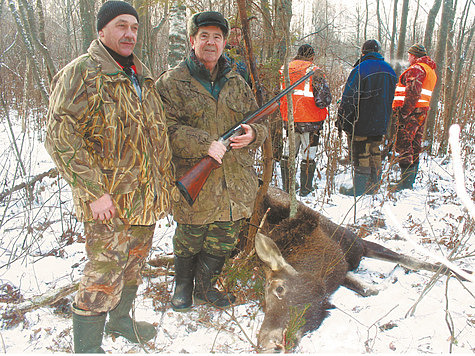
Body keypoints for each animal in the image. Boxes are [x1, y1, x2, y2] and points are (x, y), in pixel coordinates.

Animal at [255, 186, 466, 354]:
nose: (266, 343)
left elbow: (411, 260)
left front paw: (464, 275)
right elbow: (368, 289)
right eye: (263, 301)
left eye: (279, 288)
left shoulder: (356, 245)